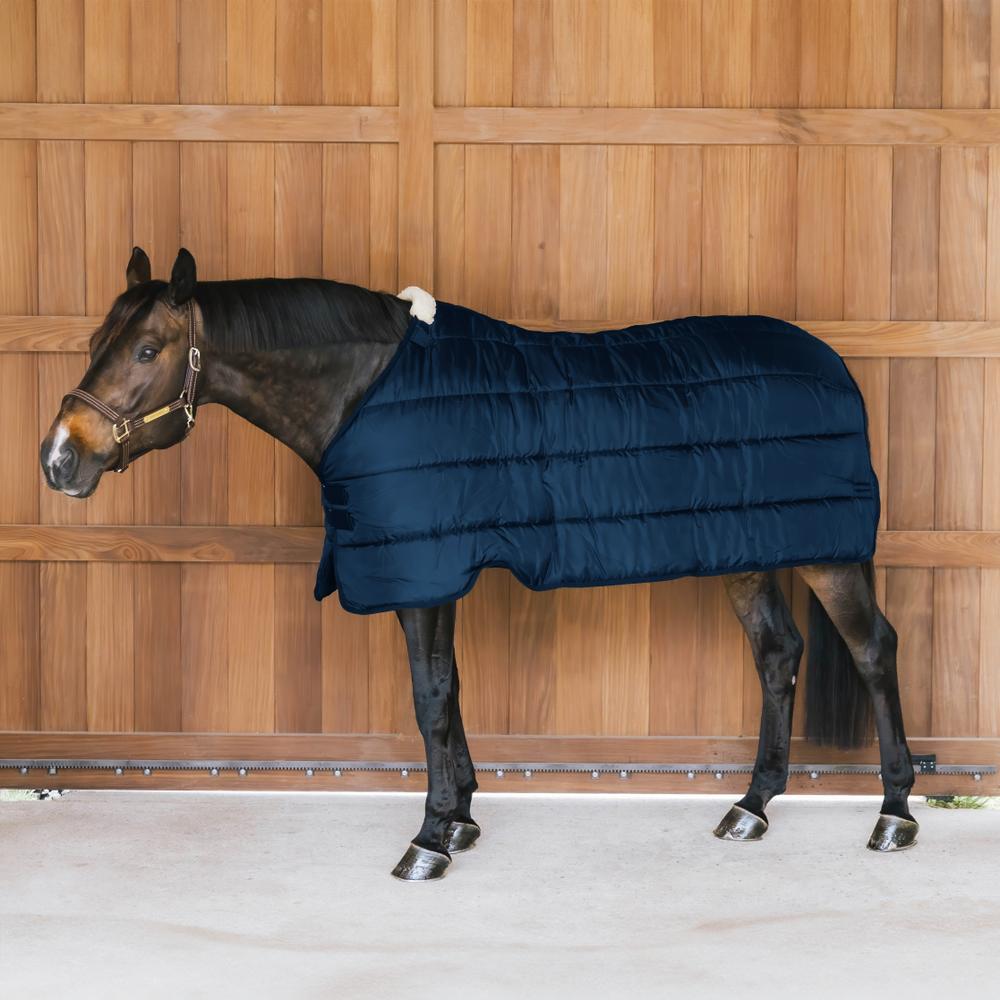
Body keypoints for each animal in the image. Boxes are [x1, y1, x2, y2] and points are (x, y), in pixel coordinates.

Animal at [40, 247, 918, 881]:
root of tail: (831, 362)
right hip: (750, 554)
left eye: (147, 348)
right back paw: (752, 808)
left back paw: (894, 815)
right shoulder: (436, 571)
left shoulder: (423, 571)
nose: (58, 459)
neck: (368, 390)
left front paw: (429, 839)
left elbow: (429, 697)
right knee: (778, 655)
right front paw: (461, 817)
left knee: (874, 650)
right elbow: (451, 688)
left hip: (829, 556)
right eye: (93, 344)